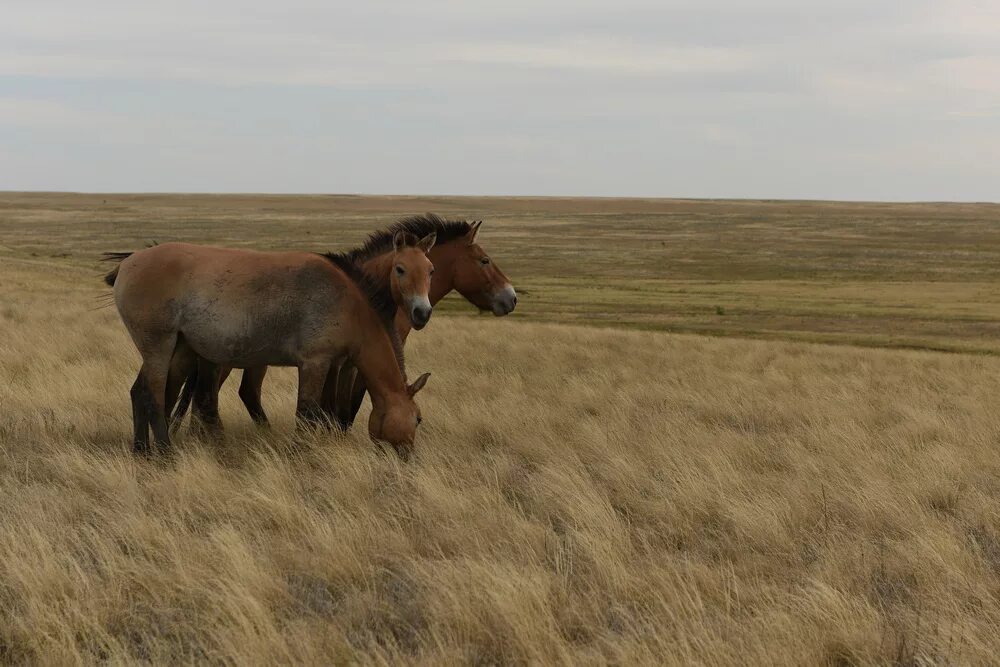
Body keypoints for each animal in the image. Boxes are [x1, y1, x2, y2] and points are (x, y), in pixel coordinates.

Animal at [173, 213, 516, 434]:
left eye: (431, 270)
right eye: (484, 261)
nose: (511, 298)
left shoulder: (345, 361)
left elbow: (338, 405)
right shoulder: (351, 361)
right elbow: (346, 405)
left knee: (237, 394)